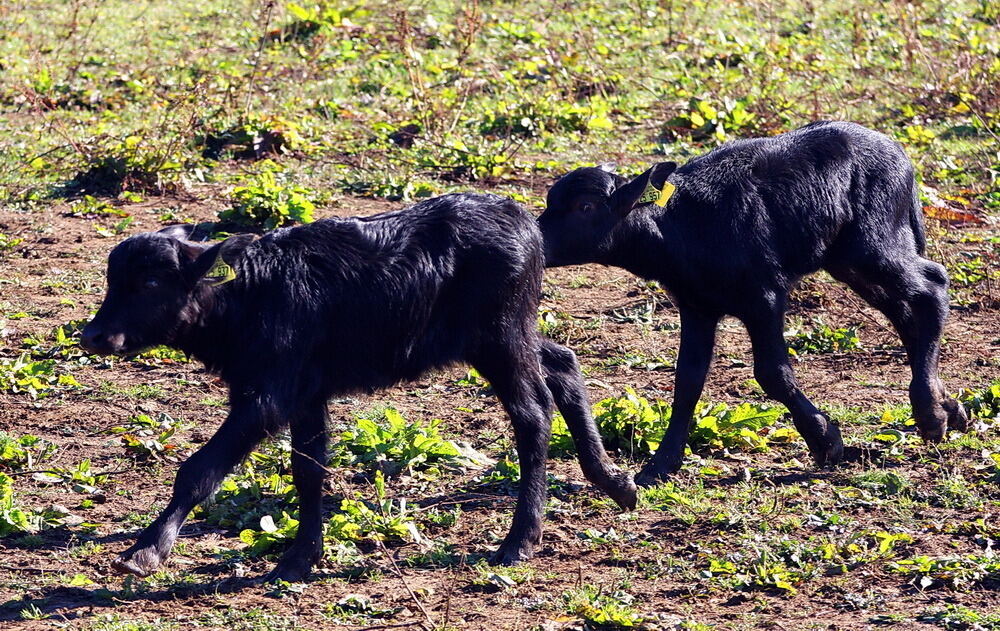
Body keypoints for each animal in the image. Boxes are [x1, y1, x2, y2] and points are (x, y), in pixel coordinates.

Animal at [82, 194, 636, 584]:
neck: (251, 293)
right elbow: (307, 471)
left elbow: (199, 470)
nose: (93, 336)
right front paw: (298, 560)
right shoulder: (306, 396)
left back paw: (520, 541)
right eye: (112, 281)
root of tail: (518, 217)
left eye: (150, 283)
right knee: (562, 363)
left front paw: (145, 552)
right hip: (503, 338)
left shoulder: (266, 397)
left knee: (532, 414)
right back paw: (615, 483)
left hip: (501, 340)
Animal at [540, 121, 968, 484]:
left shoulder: (765, 296)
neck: (684, 224)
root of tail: (896, 151)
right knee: (906, 310)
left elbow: (772, 373)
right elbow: (687, 379)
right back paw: (949, 409)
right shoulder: (696, 306)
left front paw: (825, 440)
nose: (537, 238)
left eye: (584, 207)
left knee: (932, 286)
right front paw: (660, 464)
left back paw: (931, 415)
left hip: (874, 246)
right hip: (847, 260)